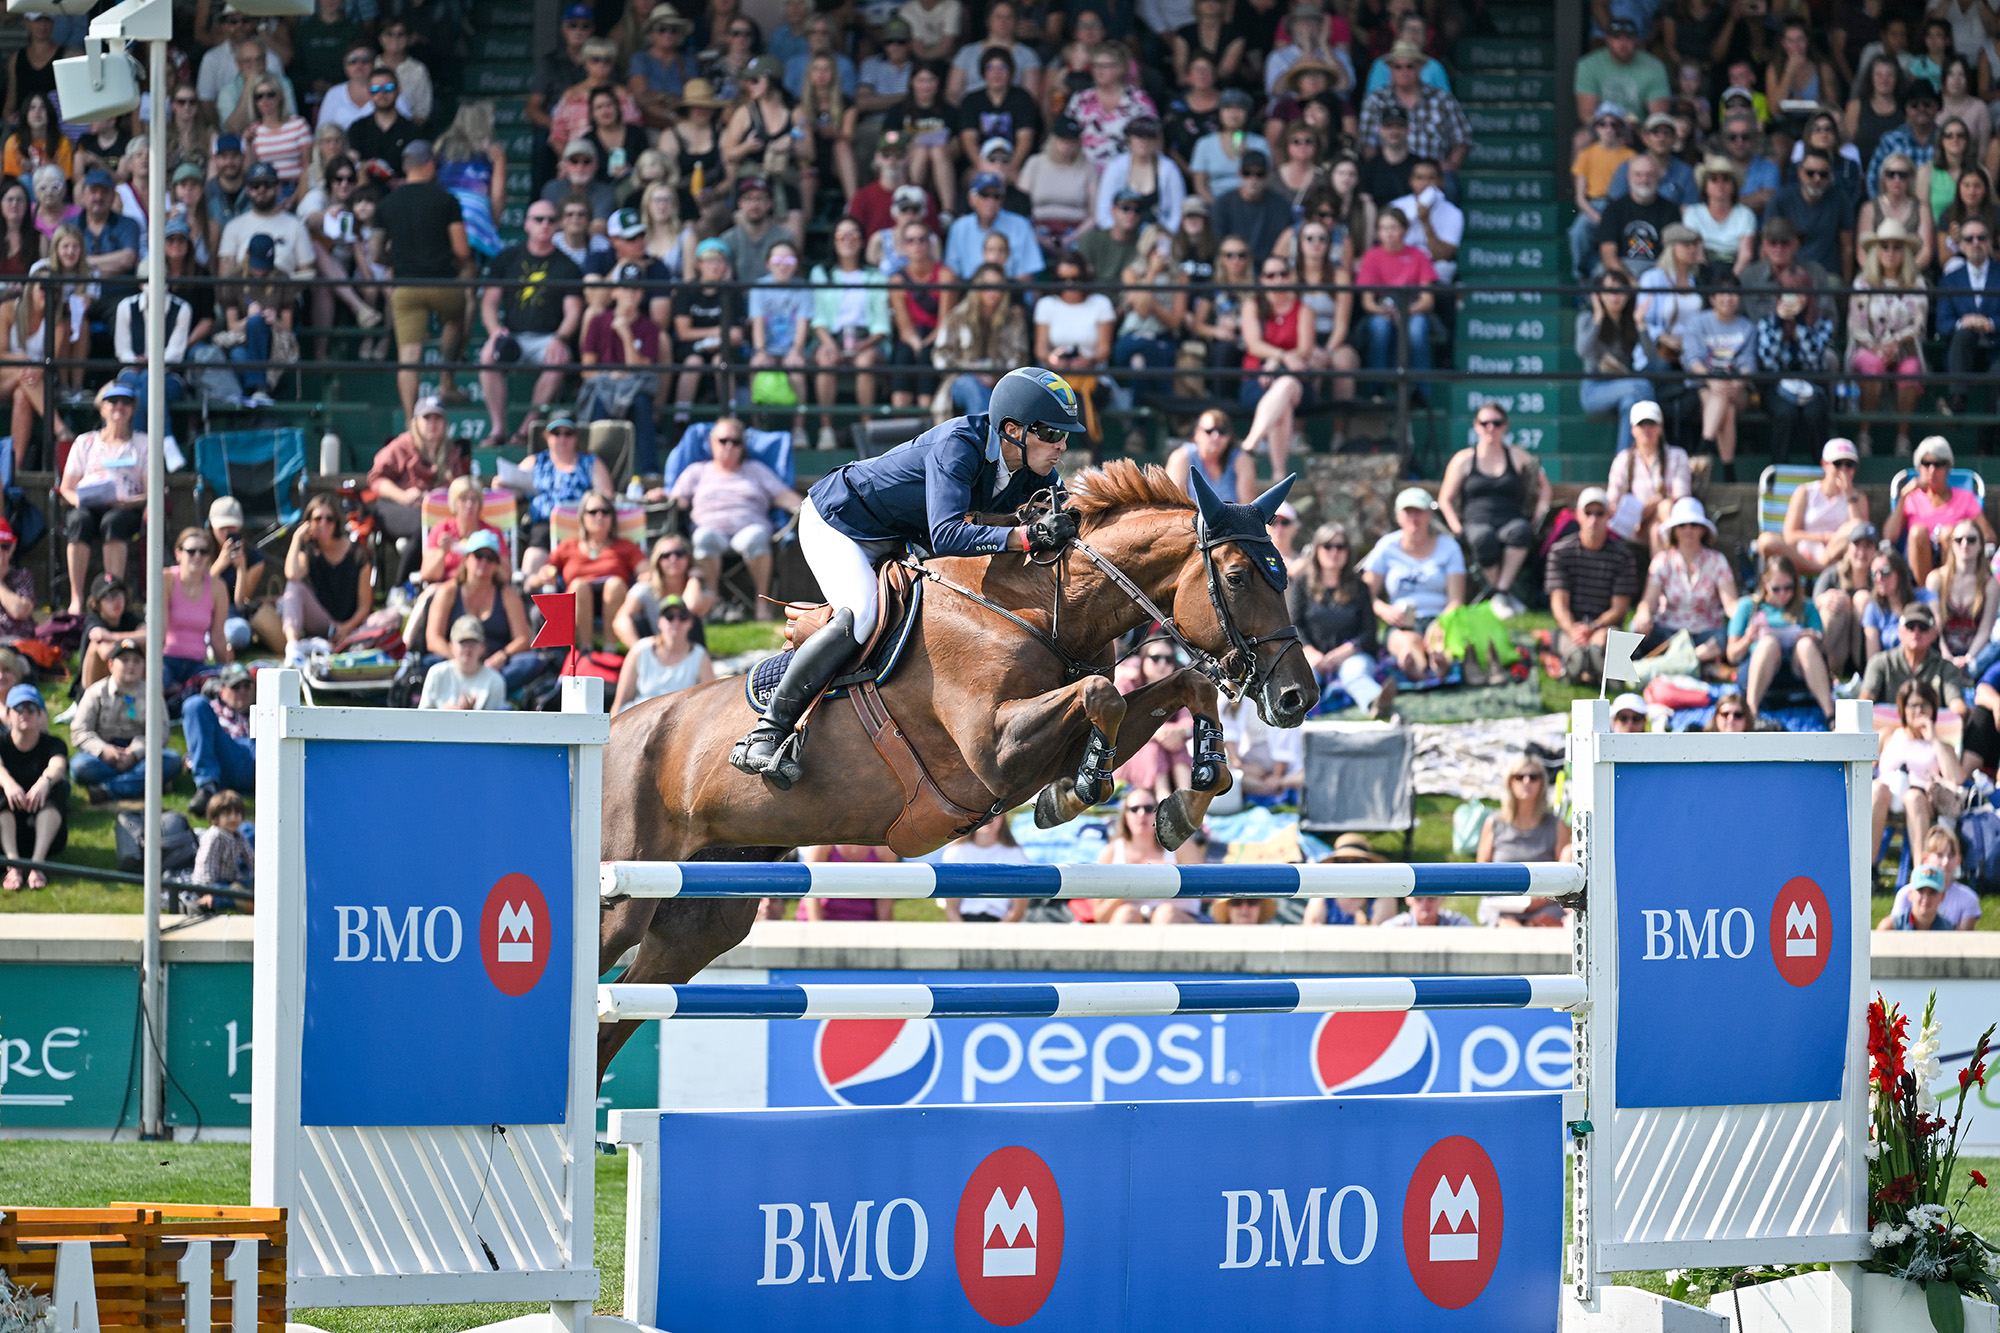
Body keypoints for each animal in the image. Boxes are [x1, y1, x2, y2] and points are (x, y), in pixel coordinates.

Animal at [592, 456, 1312, 1072]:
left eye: (1284, 576)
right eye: (1240, 576)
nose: (1296, 697)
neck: (1037, 606)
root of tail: (609, 731)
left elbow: (1177, 688)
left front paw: (1183, 802)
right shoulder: (993, 754)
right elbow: (1101, 694)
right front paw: (1080, 791)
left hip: (700, 920)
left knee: (613, 1018)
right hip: (621, 897)